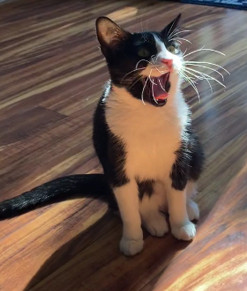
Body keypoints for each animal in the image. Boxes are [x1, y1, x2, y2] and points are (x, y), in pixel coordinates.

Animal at [0, 14, 204, 256]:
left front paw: (181, 224)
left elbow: (177, 194)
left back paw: (188, 208)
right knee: (139, 205)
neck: (149, 114)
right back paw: (154, 221)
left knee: (180, 190)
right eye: (143, 52)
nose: (169, 62)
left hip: (196, 149)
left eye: (173, 48)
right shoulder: (117, 167)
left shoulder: (180, 154)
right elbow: (129, 210)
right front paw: (132, 240)